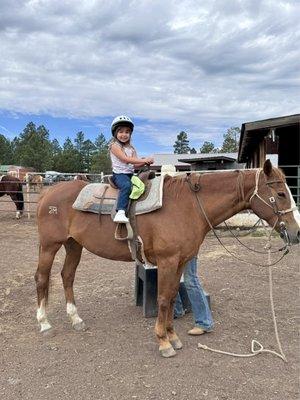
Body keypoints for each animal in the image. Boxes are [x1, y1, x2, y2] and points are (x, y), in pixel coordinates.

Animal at [35, 161, 300, 358]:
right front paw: (163, 342)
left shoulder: (180, 261)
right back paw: (45, 324)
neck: (187, 205)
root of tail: (49, 192)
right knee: (42, 278)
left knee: (67, 276)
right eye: (280, 193)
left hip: (73, 245)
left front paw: (173, 337)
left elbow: (173, 298)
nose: (296, 233)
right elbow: (163, 300)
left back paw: (76, 319)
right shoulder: (167, 261)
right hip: (50, 246)